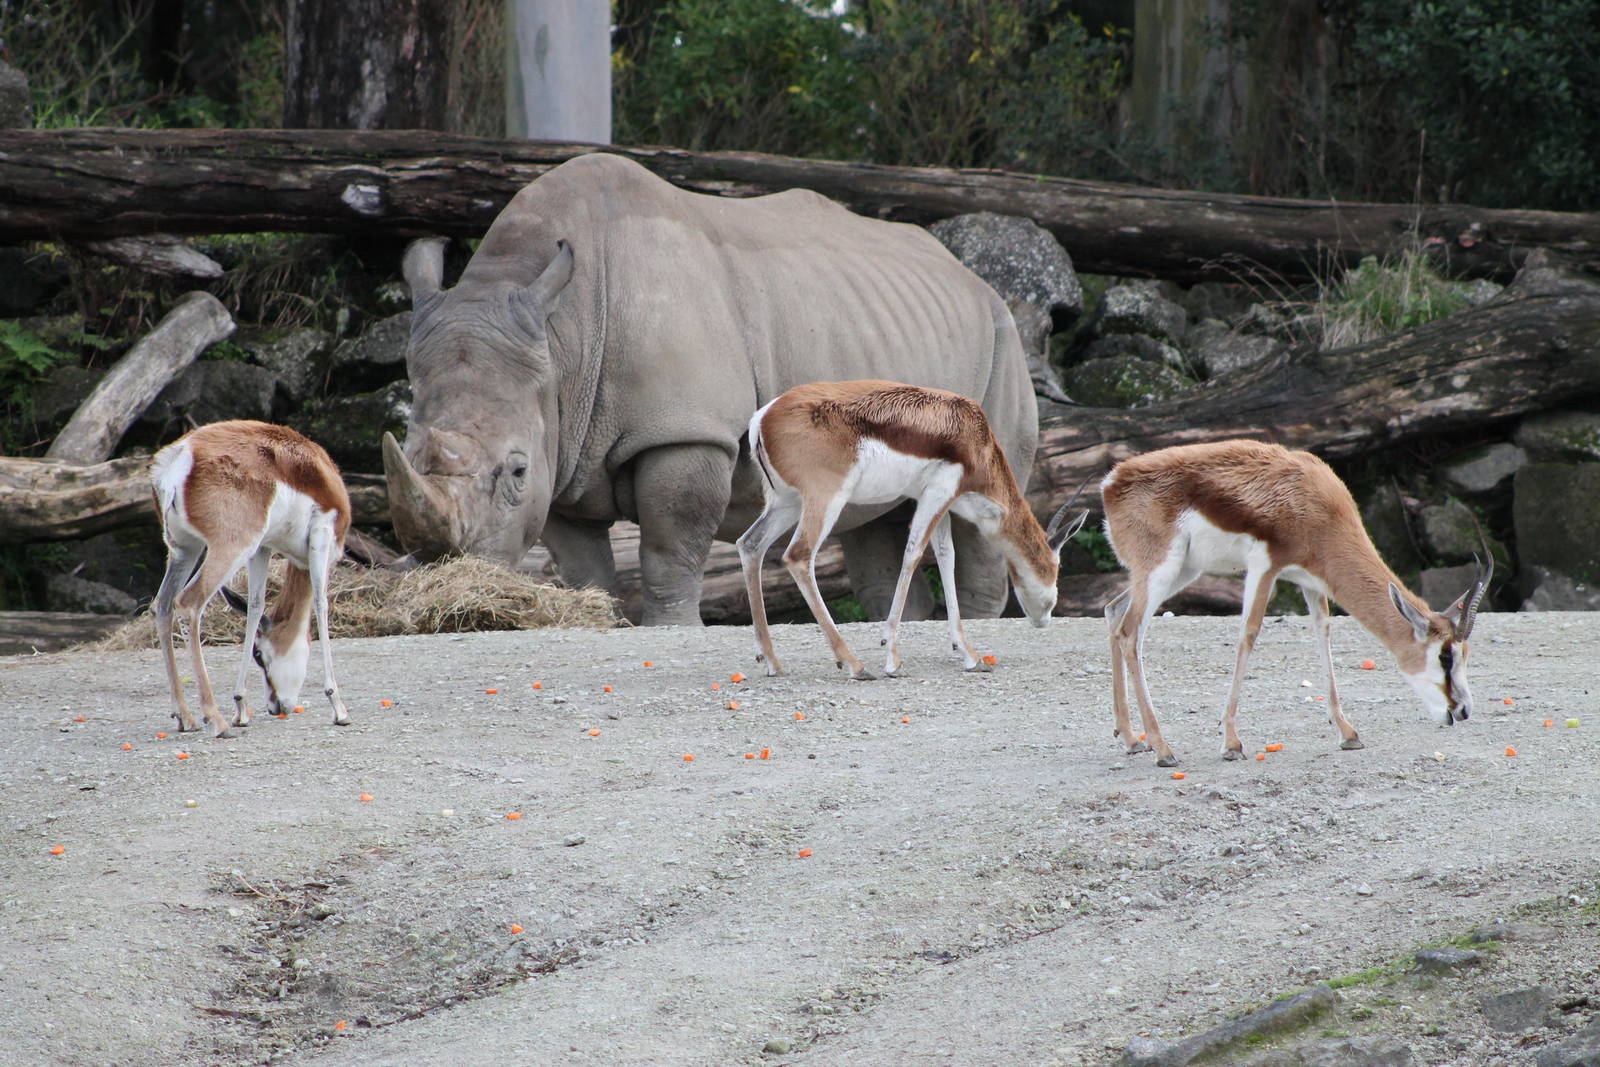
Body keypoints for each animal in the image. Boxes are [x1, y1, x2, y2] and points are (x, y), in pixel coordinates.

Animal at [384, 152, 1040, 626]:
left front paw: (671, 628)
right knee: (874, 521)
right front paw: (601, 617)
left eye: (516, 471)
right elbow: (581, 558)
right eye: (404, 449)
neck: (563, 338)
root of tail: (970, 275)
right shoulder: (562, 448)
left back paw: (980, 625)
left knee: (985, 493)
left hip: (1004, 336)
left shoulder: (686, 430)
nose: (445, 574)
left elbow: (673, 537)